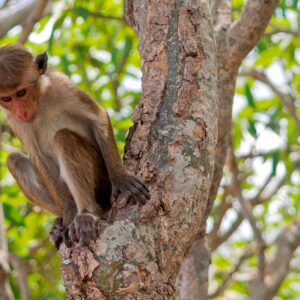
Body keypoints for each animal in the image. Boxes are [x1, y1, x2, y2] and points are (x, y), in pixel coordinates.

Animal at [0, 44, 150, 246]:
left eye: (21, 93)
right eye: (6, 99)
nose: (21, 112)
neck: (40, 101)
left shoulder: (61, 84)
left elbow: (98, 117)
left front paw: (121, 178)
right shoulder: (15, 120)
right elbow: (38, 157)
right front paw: (69, 216)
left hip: (101, 177)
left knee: (64, 138)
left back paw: (88, 213)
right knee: (15, 160)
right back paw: (63, 222)